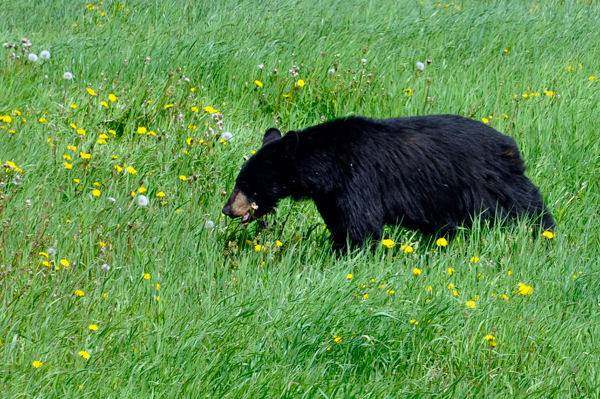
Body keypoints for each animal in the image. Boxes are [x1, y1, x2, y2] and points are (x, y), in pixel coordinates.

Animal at [223, 114, 556, 252]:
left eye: (247, 184)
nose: (227, 209)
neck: (327, 165)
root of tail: (509, 146)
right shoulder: (331, 195)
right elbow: (340, 223)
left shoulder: (358, 180)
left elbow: (361, 226)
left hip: (491, 184)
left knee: (528, 209)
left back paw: (545, 235)